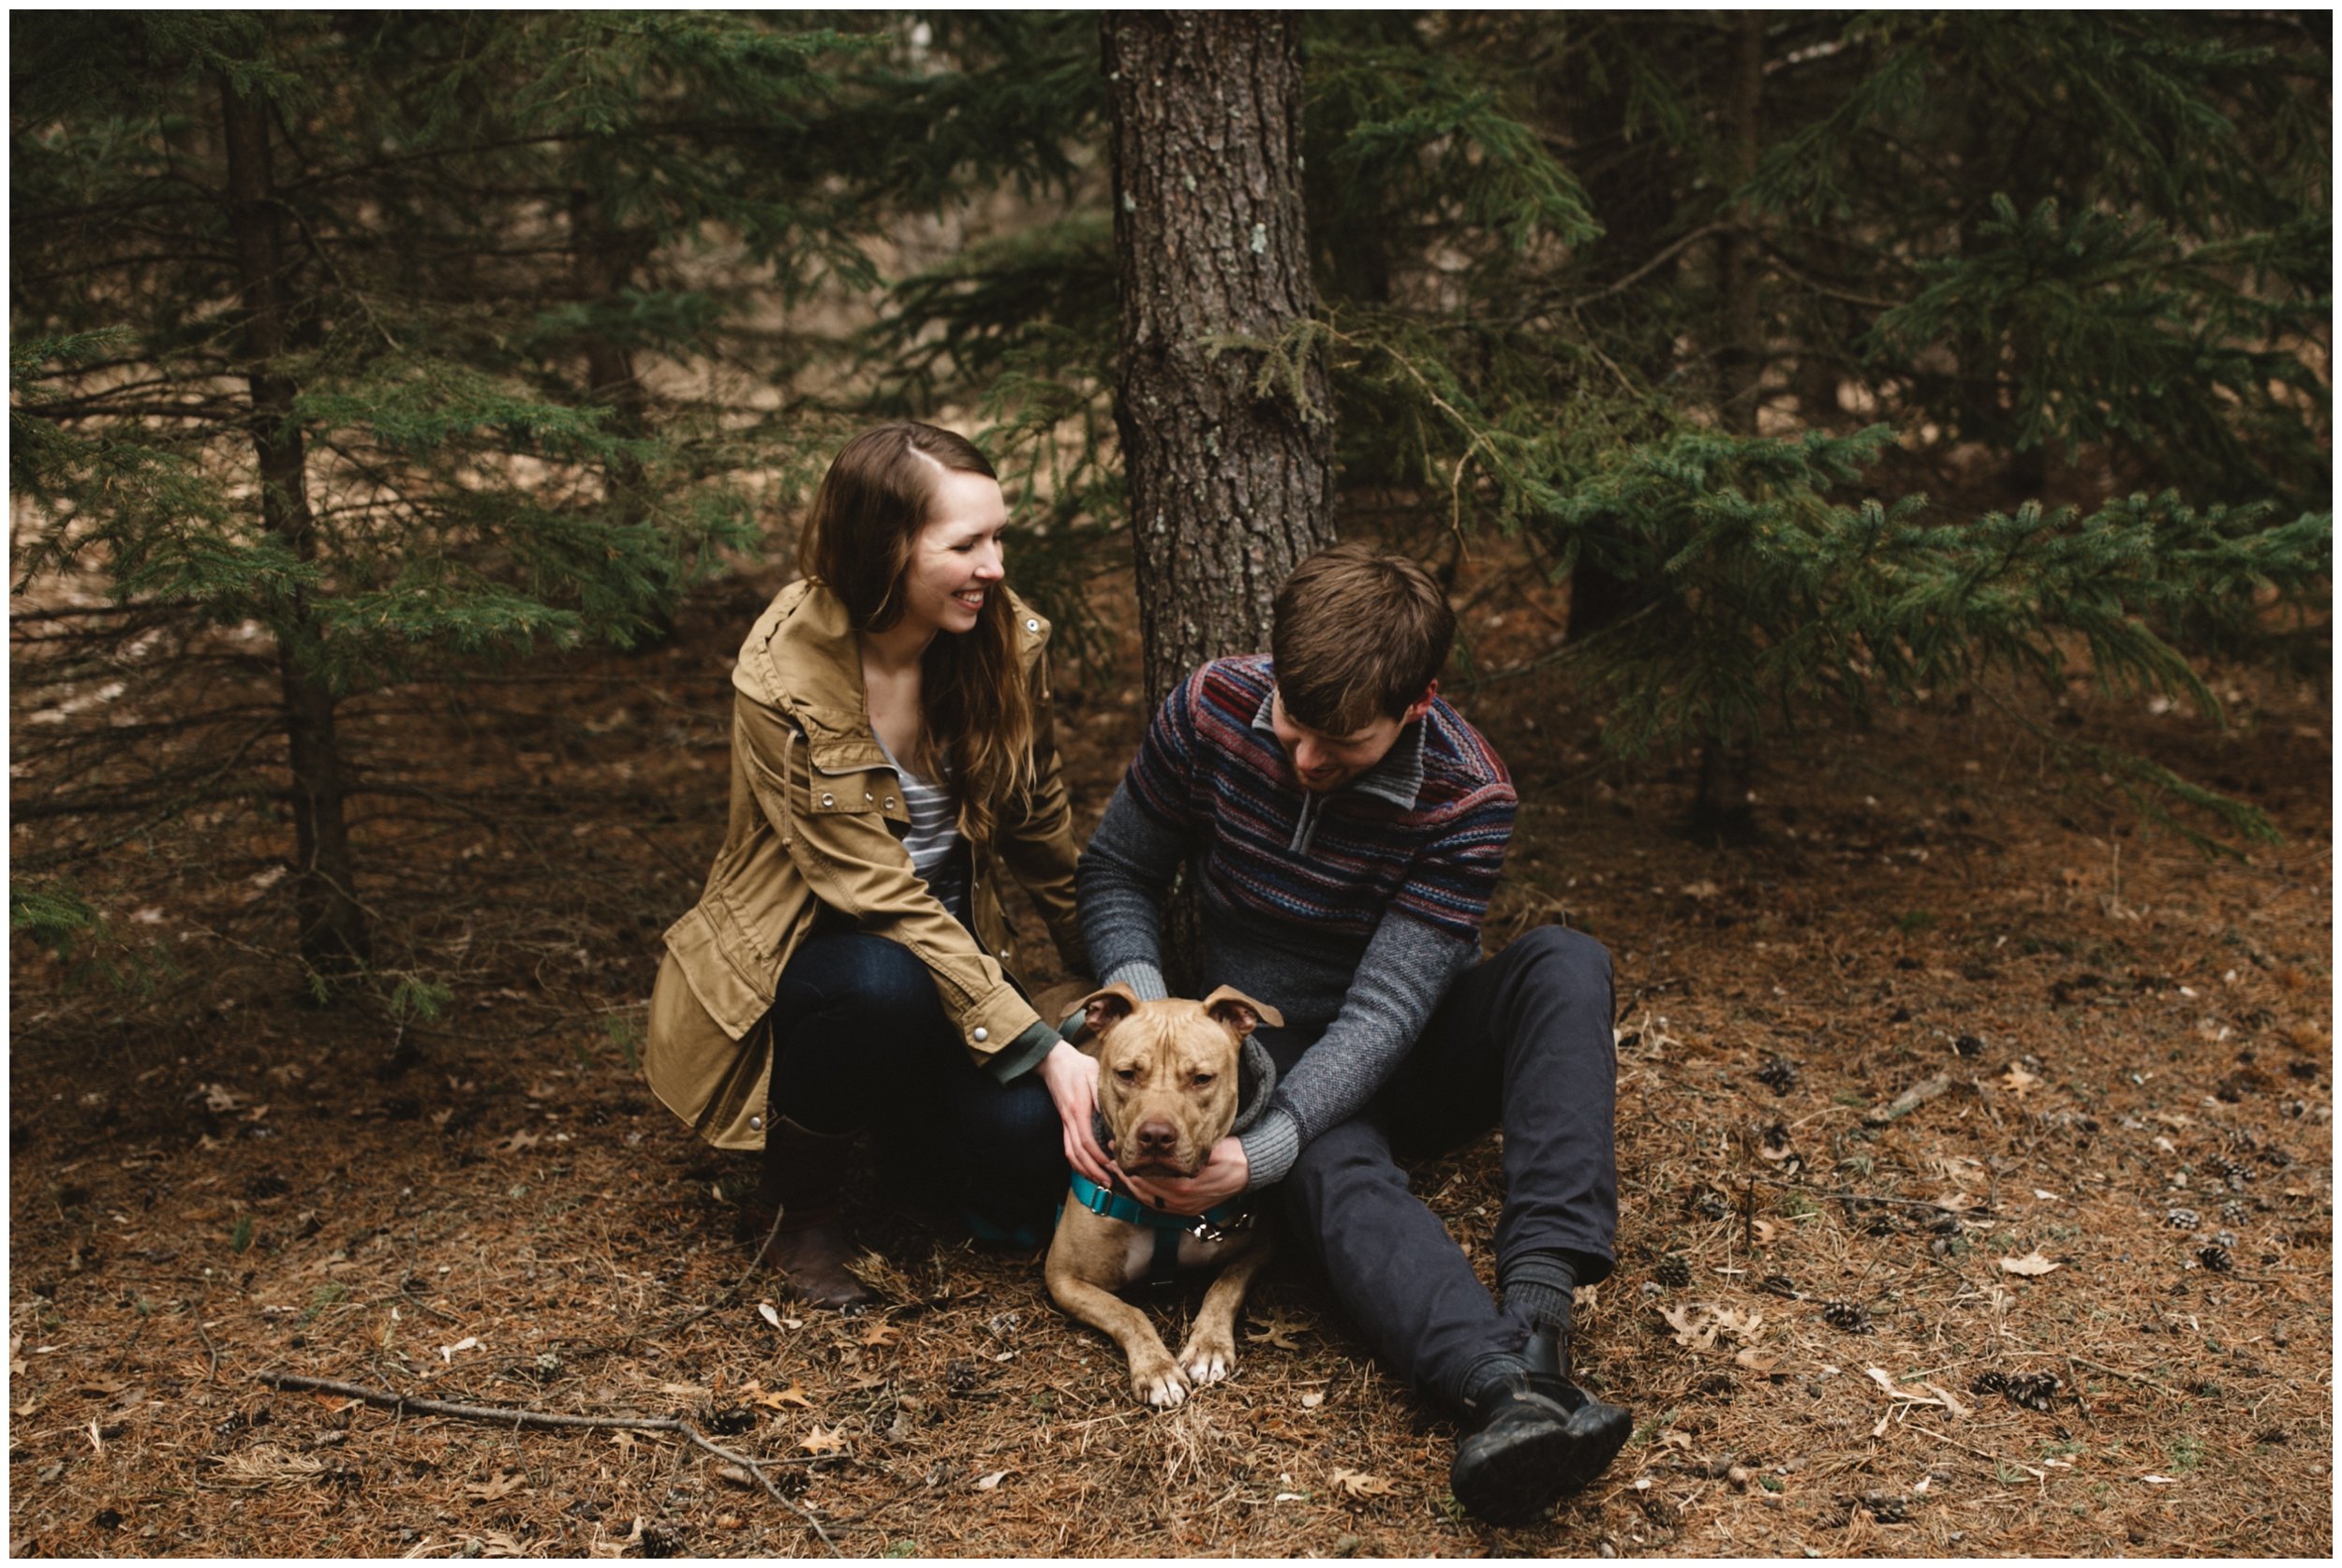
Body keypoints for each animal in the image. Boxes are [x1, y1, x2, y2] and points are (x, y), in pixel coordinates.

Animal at [1049, 983, 1283, 1413]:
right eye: (1126, 1074)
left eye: (1202, 1078)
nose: (1156, 1136)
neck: (1163, 1210)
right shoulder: (1063, 1276)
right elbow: (1127, 1311)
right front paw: (1157, 1369)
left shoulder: (1262, 1240)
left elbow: (1226, 1285)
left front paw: (1209, 1346)